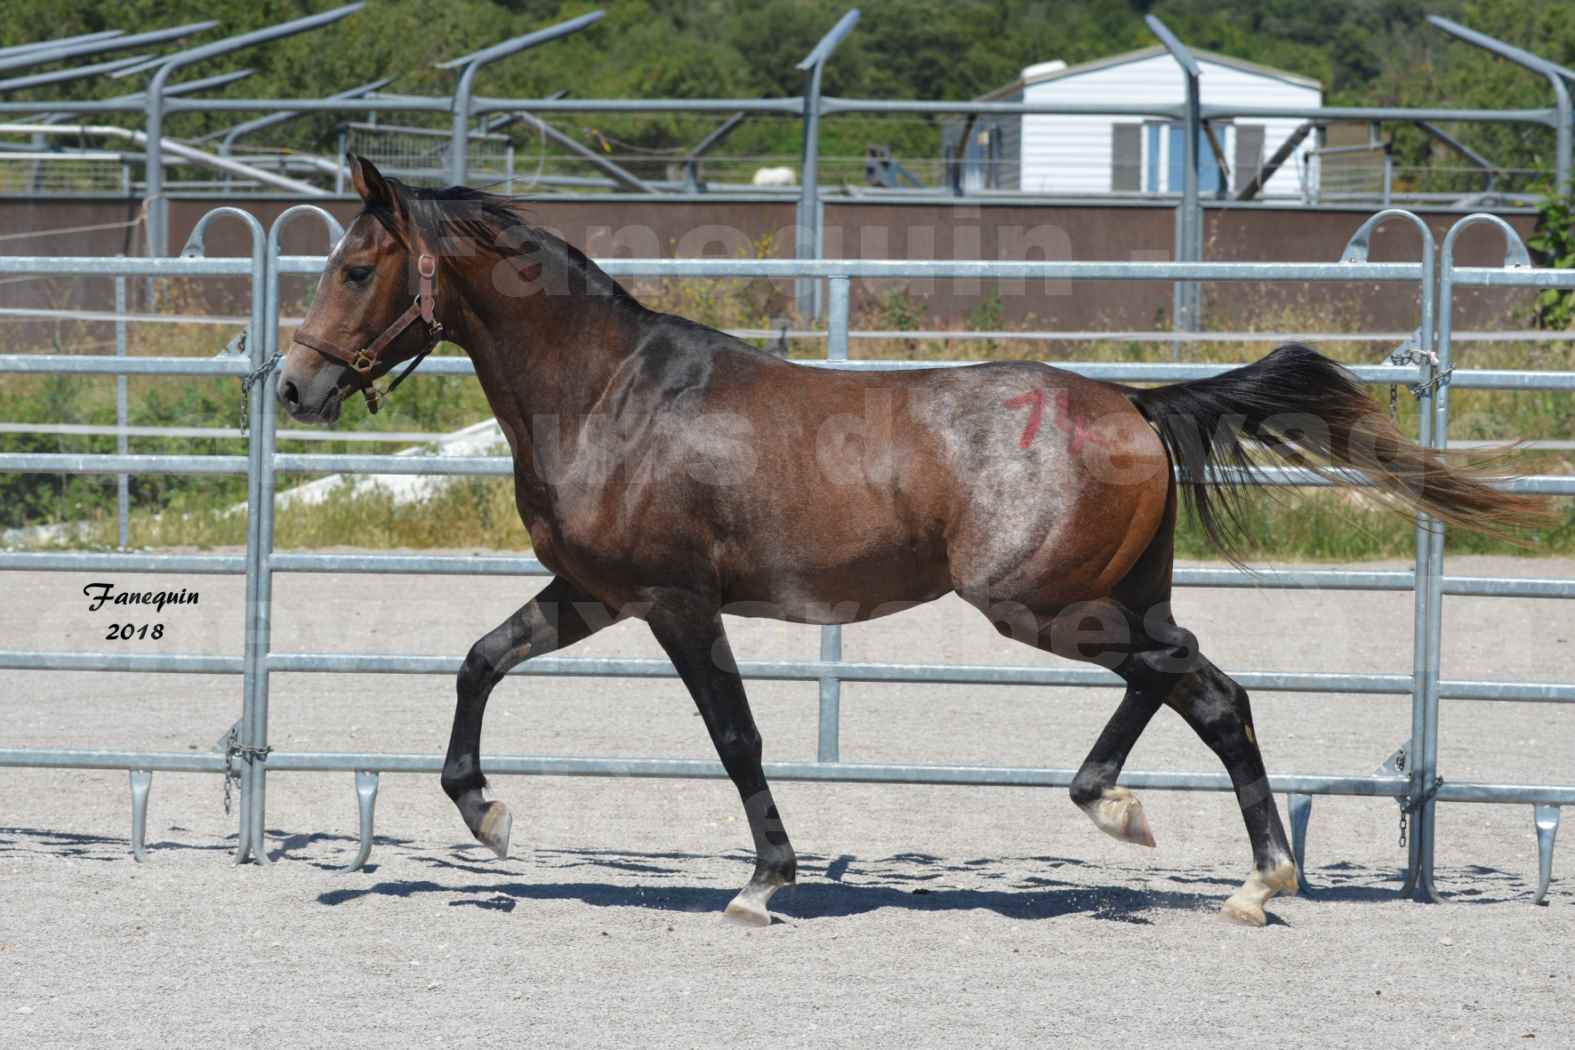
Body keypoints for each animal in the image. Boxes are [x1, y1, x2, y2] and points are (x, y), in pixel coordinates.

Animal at [277, 155, 1543, 925]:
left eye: (355, 267)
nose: (294, 385)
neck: (609, 395)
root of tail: (1133, 402)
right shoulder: (593, 592)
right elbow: (479, 663)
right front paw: (485, 815)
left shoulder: (678, 602)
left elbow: (734, 737)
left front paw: (763, 884)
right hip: (1107, 597)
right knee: (1185, 682)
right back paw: (1139, 820)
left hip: (1044, 604)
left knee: (1208, 690)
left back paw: (1255, 875)